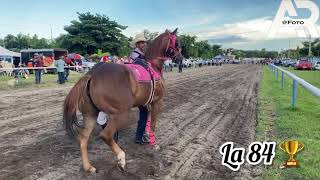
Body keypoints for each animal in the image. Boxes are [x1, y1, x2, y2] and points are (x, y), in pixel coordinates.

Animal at [63, 28, 181, 173]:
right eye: (177, 42)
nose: (181, 58)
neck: (152, 66)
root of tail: (92, 74)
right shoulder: (157, 102)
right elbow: (153, 123)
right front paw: (153, 144)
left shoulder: (145, 104)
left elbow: (145, 120)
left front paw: (143, 138)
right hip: (120, 114)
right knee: (105, 135)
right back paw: (121, 158)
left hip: (90, 114)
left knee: (83, 139)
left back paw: (89, 167)